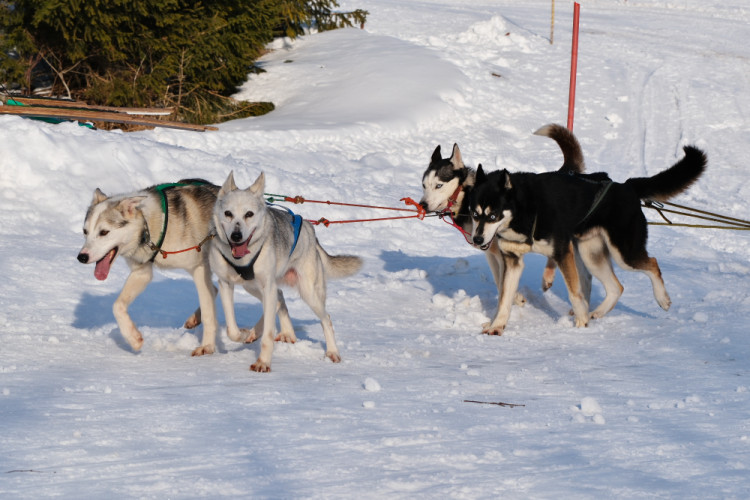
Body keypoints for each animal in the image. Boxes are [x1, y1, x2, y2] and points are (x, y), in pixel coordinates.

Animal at [79, 180, 222, 356]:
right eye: (85, 231)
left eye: (104, 232)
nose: (81, 257)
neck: (147, 226)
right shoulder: (141, 272)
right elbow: (117, 306)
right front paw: (133, 338)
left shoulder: (199, 267)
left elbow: (209, 313)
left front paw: (207, 346)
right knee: (214, 289)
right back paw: (194, 319)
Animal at [212, 172, 364, 372]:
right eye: (228, 213)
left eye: (249, 214)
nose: (236, 236)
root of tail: (309, 228)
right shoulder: (226, 284)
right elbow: (232, 330)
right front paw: (244, 335)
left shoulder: (266, 286)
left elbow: (268, 334)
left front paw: (263, 362)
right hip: (251, 286)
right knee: (279, 298)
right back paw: (265, 332)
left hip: (308, 292)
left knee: (326, 319)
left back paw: (332, 351)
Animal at [424, 124, 592, 334]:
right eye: (424, 185)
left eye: (439, 185)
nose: (422, 204)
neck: (467, 197)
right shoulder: (493, 253)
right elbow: (500, 282)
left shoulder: (501, 253)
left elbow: (502, 284)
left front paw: (513, 302)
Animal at [472, 144, 708, 332]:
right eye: (474, 213)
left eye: (493, 215)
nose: (476, 239)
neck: (527, 210)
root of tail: (626, 187)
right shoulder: (512, 260)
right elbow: (504, 297)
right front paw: (497, 326)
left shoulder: (562, 253)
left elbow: (575, 293)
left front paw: (581, 321)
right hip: (591, 255)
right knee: (616, 287)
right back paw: (598, 312)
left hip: (623, 254)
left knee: (652, 264)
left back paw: (662, 299)